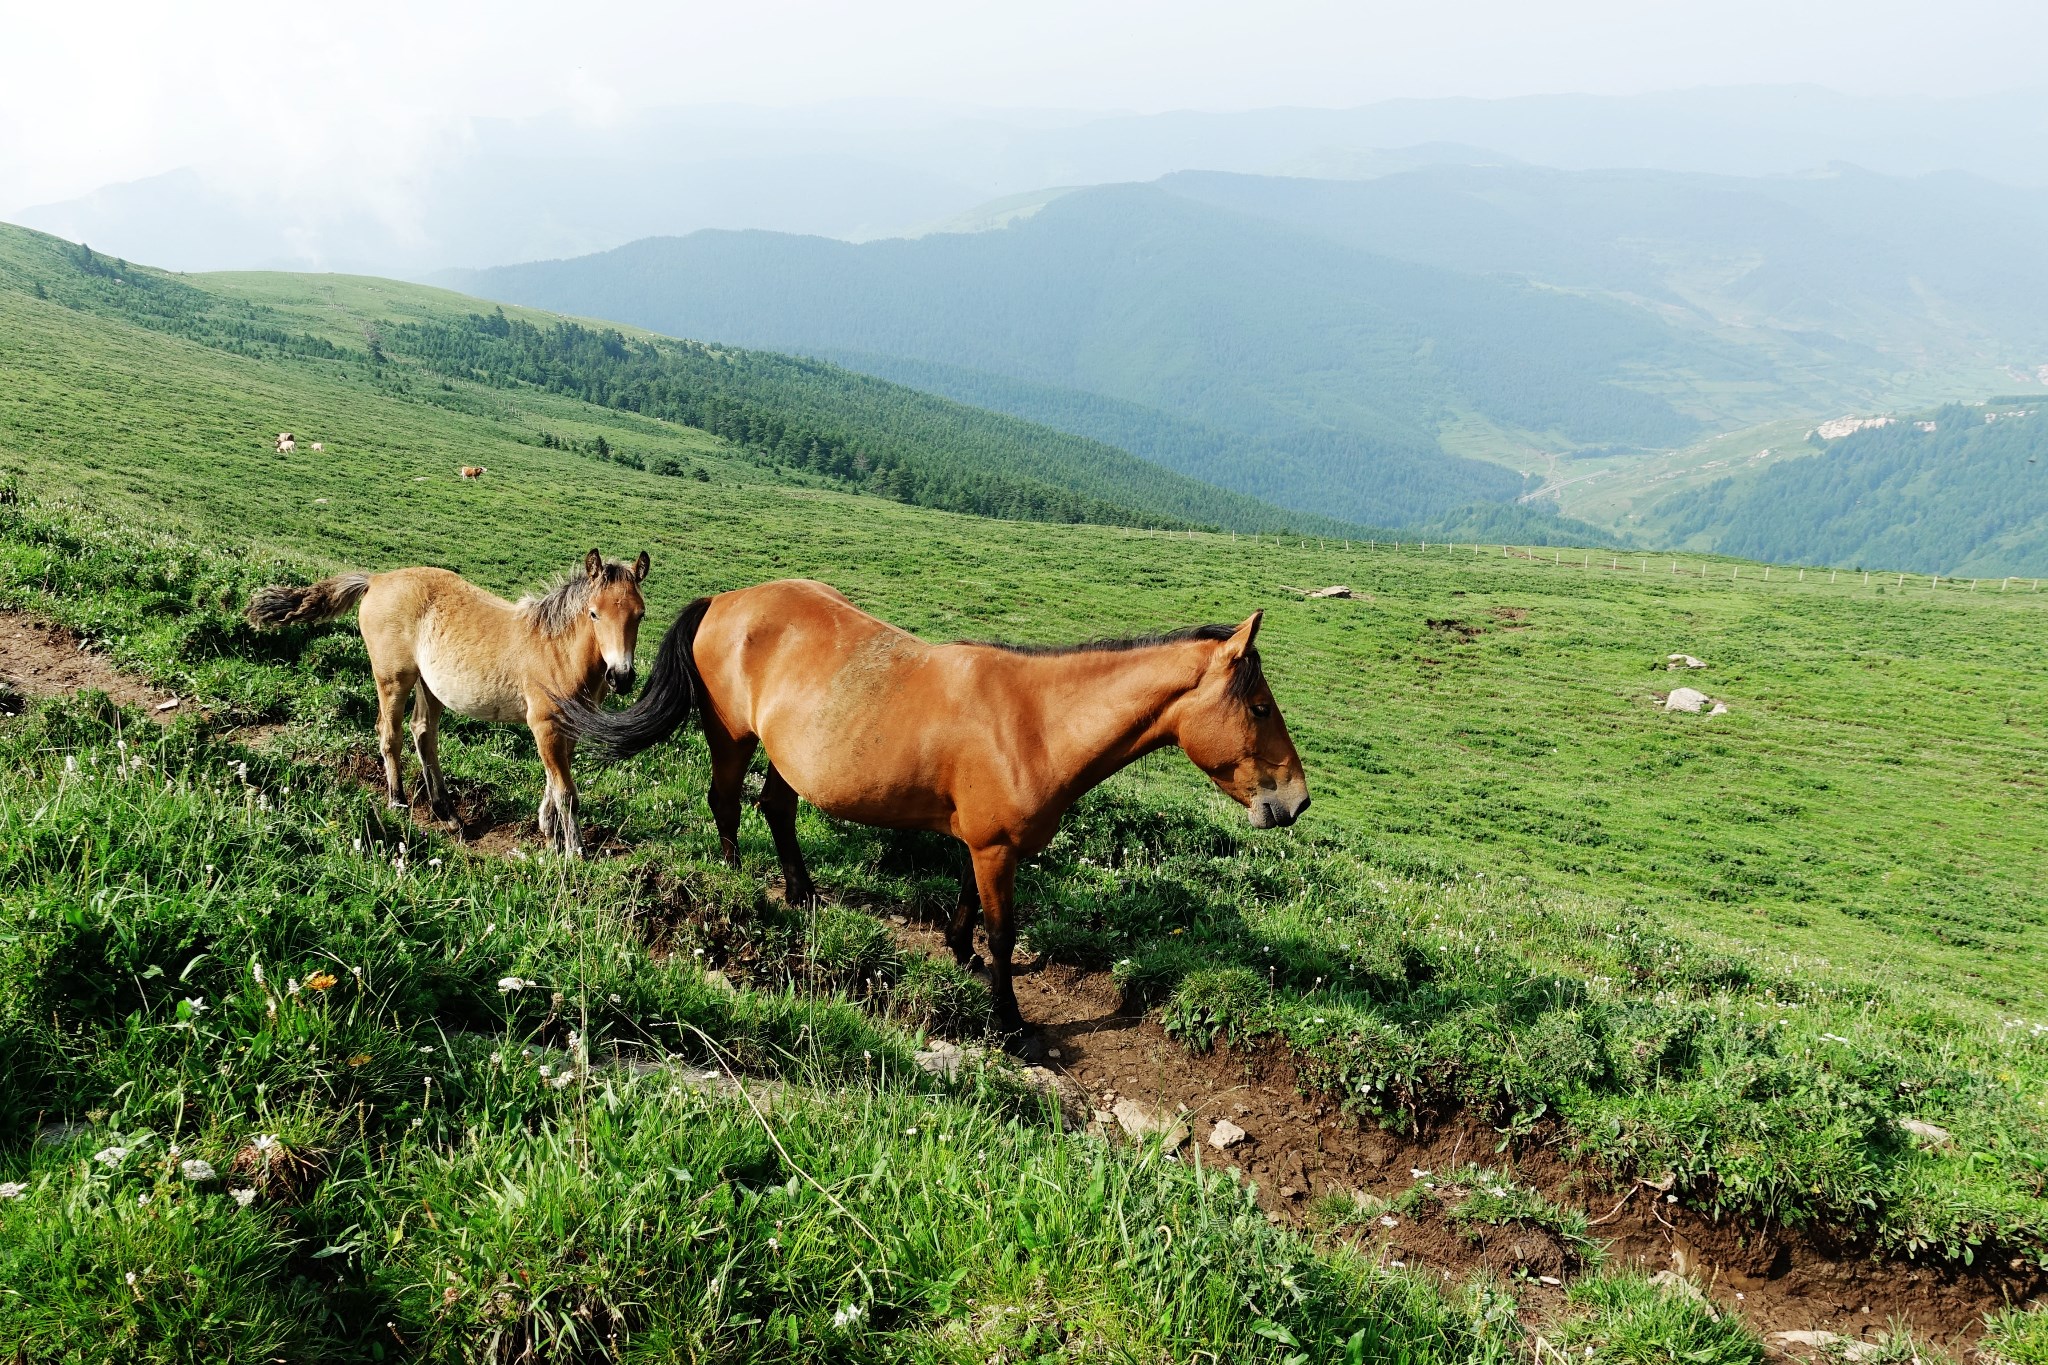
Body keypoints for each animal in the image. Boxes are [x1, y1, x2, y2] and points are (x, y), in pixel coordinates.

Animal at [245, 548, 647, 855]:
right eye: (593, 613)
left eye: (640, 615)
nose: (621, 676)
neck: (557, 649)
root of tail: (377, 579)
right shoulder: (544, 725)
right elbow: (566, 790)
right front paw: (575, 852)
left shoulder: (571, 727)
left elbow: (555, 782)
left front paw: (549, 831)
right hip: (394, 678)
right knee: (390, 734)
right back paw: (398, 801)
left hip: (431, 685)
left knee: (423, 733)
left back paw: (447, 813)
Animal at [569, 577, 1302, 1047]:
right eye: (1259, 706)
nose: (1294, 801)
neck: (1038, 723)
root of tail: (725, 601)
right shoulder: (995, 847)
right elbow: (1004, 931)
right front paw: (1009, 1023)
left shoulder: (983, 842)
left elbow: (969, 902)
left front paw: (959, 951)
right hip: (732, 736)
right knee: (725, 803)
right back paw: (739, 882)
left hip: (788, 753)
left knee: (777, 807)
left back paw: (804, 893)